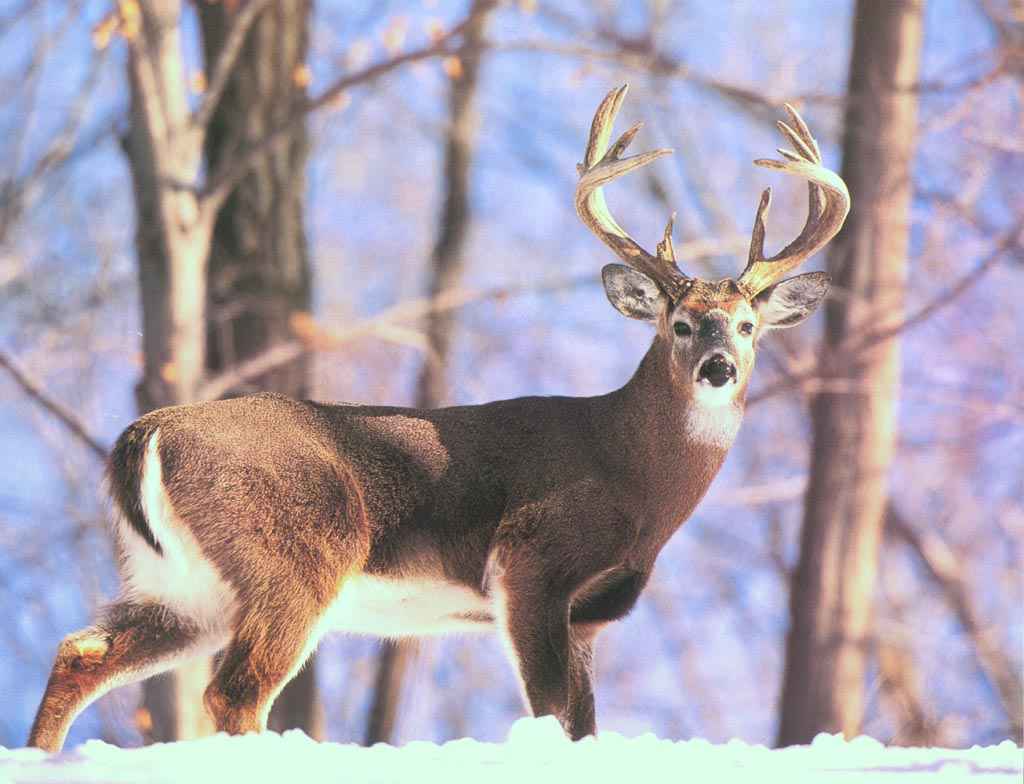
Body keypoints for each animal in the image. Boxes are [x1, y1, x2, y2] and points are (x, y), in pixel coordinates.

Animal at [28, 84, 851, 749]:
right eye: (679, 324)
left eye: (747, 326)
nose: (718, 368)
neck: (633, 478)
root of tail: (144, 434)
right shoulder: (530, 563)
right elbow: (552, 715)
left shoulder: (587, 615)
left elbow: (585, 724)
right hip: (294, 558)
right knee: (234, 693)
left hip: (181, 586)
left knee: (80, 653)